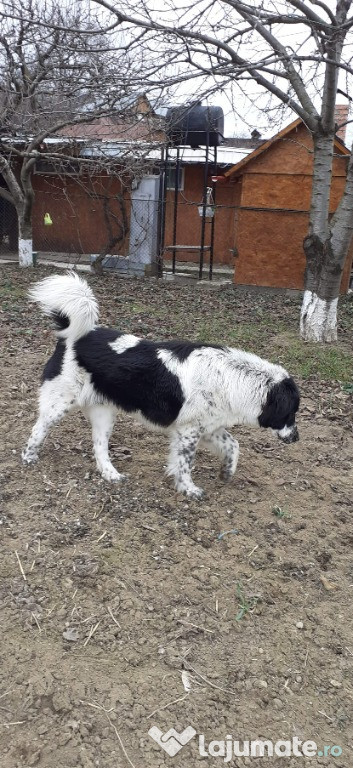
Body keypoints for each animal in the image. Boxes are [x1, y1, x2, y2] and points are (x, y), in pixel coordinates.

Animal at [22, 272, 298, 500]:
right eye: (291, 412)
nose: (296, 438)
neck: (233, 378)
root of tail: (71, 337)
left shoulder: (209, 428)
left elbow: (233, 446)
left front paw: (226, 473)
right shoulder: (189, 431)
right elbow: (185, 463)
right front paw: (188, 489)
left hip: (104, 414)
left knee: (99, 447)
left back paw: (111, 475)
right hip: (59, 403)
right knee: (38, 428)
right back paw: (29, 457)